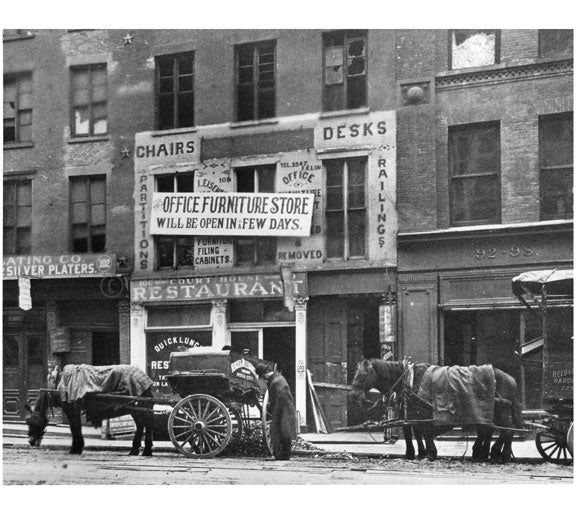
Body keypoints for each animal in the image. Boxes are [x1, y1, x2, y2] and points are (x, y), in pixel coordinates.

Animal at [24, 362, 155, 454]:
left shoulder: (70, 409)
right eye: (28, 422)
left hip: (138, 407)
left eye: (34, 423)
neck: (58, 384)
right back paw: (136, 450)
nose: (30, 441)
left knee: (147, 424)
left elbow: (75, 428)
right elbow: (76, 428)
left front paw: (75, 448)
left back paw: (145, 450)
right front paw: (78, 447)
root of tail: (146, 379)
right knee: (141, 425)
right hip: (136, 409)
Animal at [352, 358, 520, 462]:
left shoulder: (424, 414)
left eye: (363, 374)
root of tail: (512, 379)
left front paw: (430, 453)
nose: (353, 395)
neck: (407, 380)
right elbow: (414, 434)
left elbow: (425, 433)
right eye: (355, 373)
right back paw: (487, 453)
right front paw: (418, 453)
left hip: (500, 411)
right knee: (491, 430)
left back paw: (497, 453)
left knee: (507, 430)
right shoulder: (412, 415)